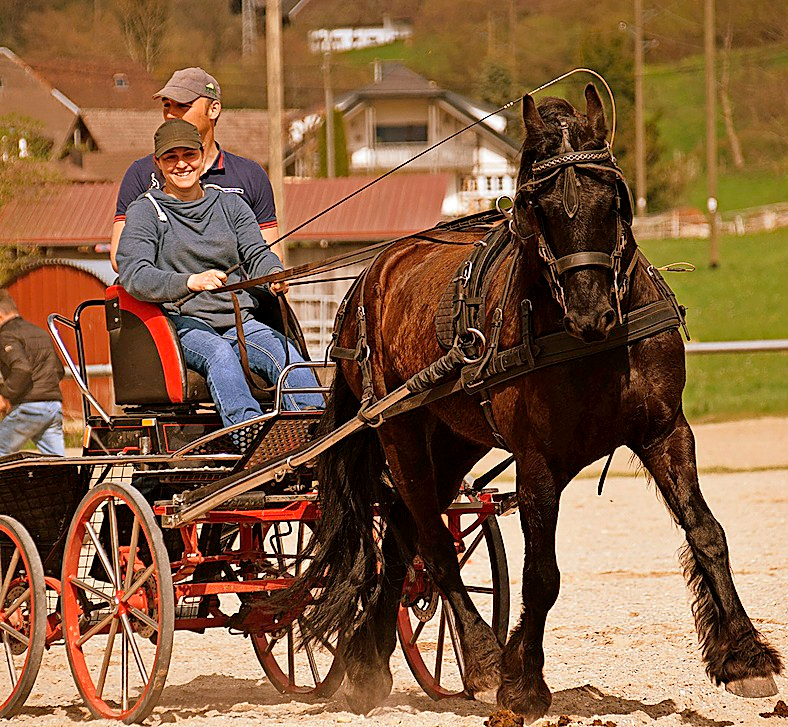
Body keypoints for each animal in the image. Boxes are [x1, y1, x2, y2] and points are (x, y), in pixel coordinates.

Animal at [294, 85, 780, 724]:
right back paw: (479, 660)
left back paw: (367, 665)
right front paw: (521, 679)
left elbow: (707, 532)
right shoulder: (538, 461)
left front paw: (745, 657)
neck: (594, 347)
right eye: (537, 204)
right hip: (398, 432)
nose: (592, 312)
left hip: (453, 438)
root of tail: (369, 277)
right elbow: (540, 575)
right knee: (431, 540)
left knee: (402, 533)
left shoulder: (665, 431)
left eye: (612, 198)